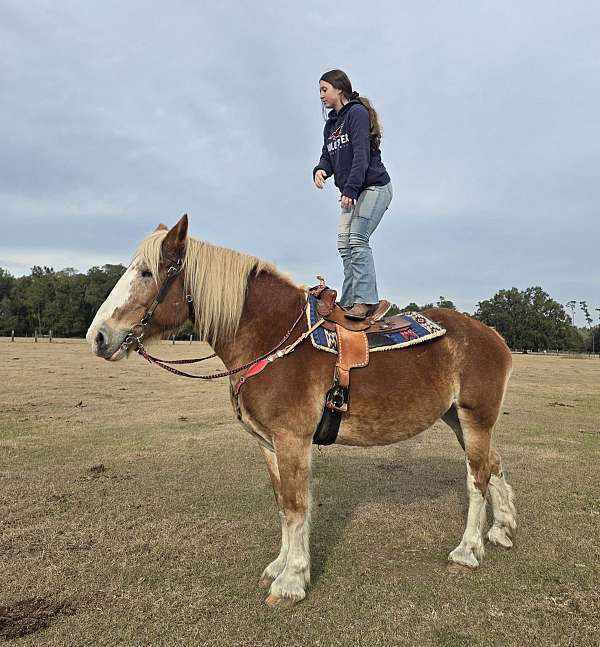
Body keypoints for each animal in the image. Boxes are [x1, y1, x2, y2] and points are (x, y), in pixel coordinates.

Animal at [84, 216, 516, 608]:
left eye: (146, 272)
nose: (98, 337)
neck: (272, 337)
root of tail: (494, 335)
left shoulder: (292, 439)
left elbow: (295, 507)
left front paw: (291, 581)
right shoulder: (269, 444)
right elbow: (282, 505)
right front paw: (281, 565)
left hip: (475, 417)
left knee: (477, 478)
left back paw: (468, 550)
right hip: (458, 419)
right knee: (492, 464)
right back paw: (502, 528)